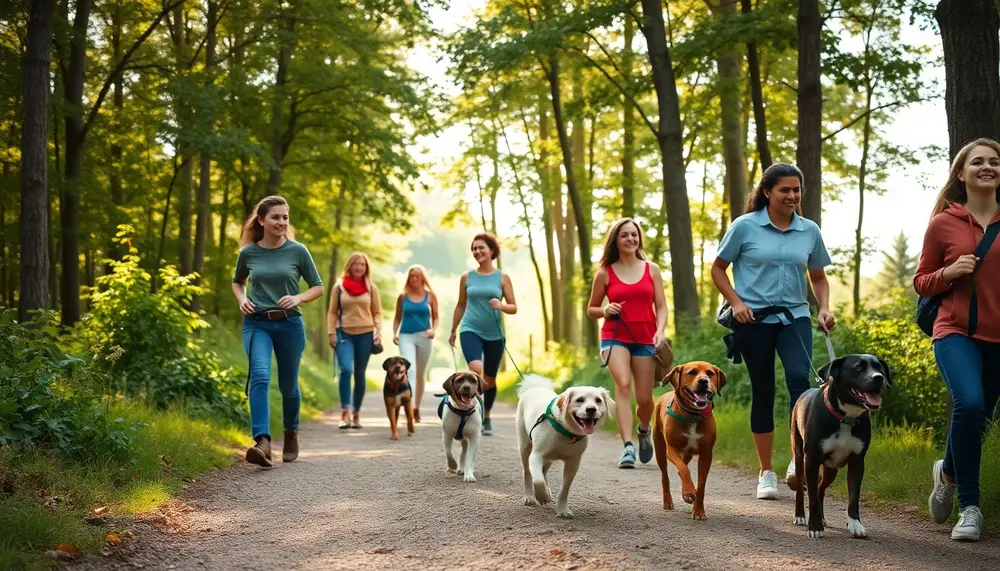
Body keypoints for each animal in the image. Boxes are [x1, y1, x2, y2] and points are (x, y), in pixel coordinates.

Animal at [520, 376, 612, 520]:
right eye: (580, 400)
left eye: (598, 400)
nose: (591, 409)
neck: (566, 431)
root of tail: (536, 387)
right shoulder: (536, 455)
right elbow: (538, 480)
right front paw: (542, 496)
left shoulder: (573, 462)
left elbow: (564, 489)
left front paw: (562, 510)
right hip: (525, 447)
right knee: (528, 473)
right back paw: (529, 496)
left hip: (548, 458)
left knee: (544, 471)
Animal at [648, 364, 728, 520]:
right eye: (692, 372)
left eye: (710, 373)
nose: (703, 380)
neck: (693, 415)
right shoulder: (671, 449)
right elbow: (684, 469)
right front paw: (689, 491)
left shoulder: (706, 454)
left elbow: (701, 485)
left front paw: (698, 510)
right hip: (660, 449)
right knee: (665, 475)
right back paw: (668, 501)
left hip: (688, 453)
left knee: (683, 463)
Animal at [788, 356, 892, 540]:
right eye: (858, 367)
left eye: (879, 367)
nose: (879, 378)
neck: (846, 417)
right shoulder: (812, 460)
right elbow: (812, 498)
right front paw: (815, 527)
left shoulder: (857, 462)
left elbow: (854, 498)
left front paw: (855, 525)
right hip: (800, 458)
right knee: (801, 488)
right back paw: (800, 516)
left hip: (831, 469)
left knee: (820, 489)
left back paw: (822, 518)